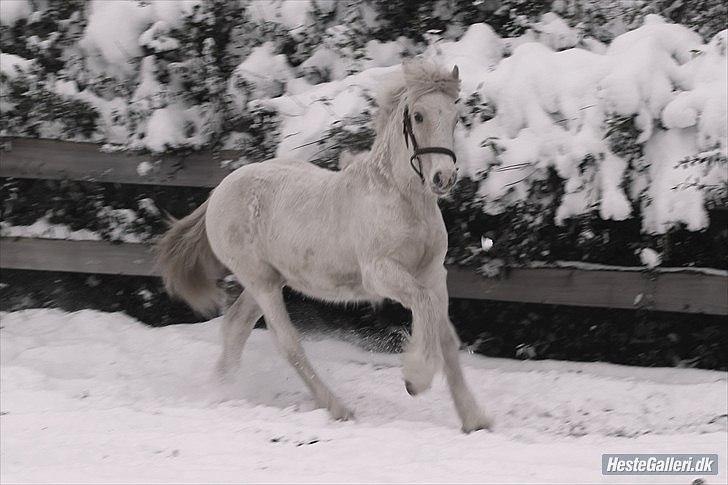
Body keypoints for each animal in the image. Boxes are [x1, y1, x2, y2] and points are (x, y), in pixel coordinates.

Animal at [156, 60, 492, 432]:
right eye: (418, 116)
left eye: (455, 117)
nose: (443, 178)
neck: (401, 199)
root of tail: (220, 190)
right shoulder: (381, 273)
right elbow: (425, 308)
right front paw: (415, 379)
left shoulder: (432, 274)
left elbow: (445, 336)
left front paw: (474, 419)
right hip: (261, 282)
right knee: (287, 343)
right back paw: (338, 408)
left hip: (267, 281)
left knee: (235, 327)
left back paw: (223, 388)